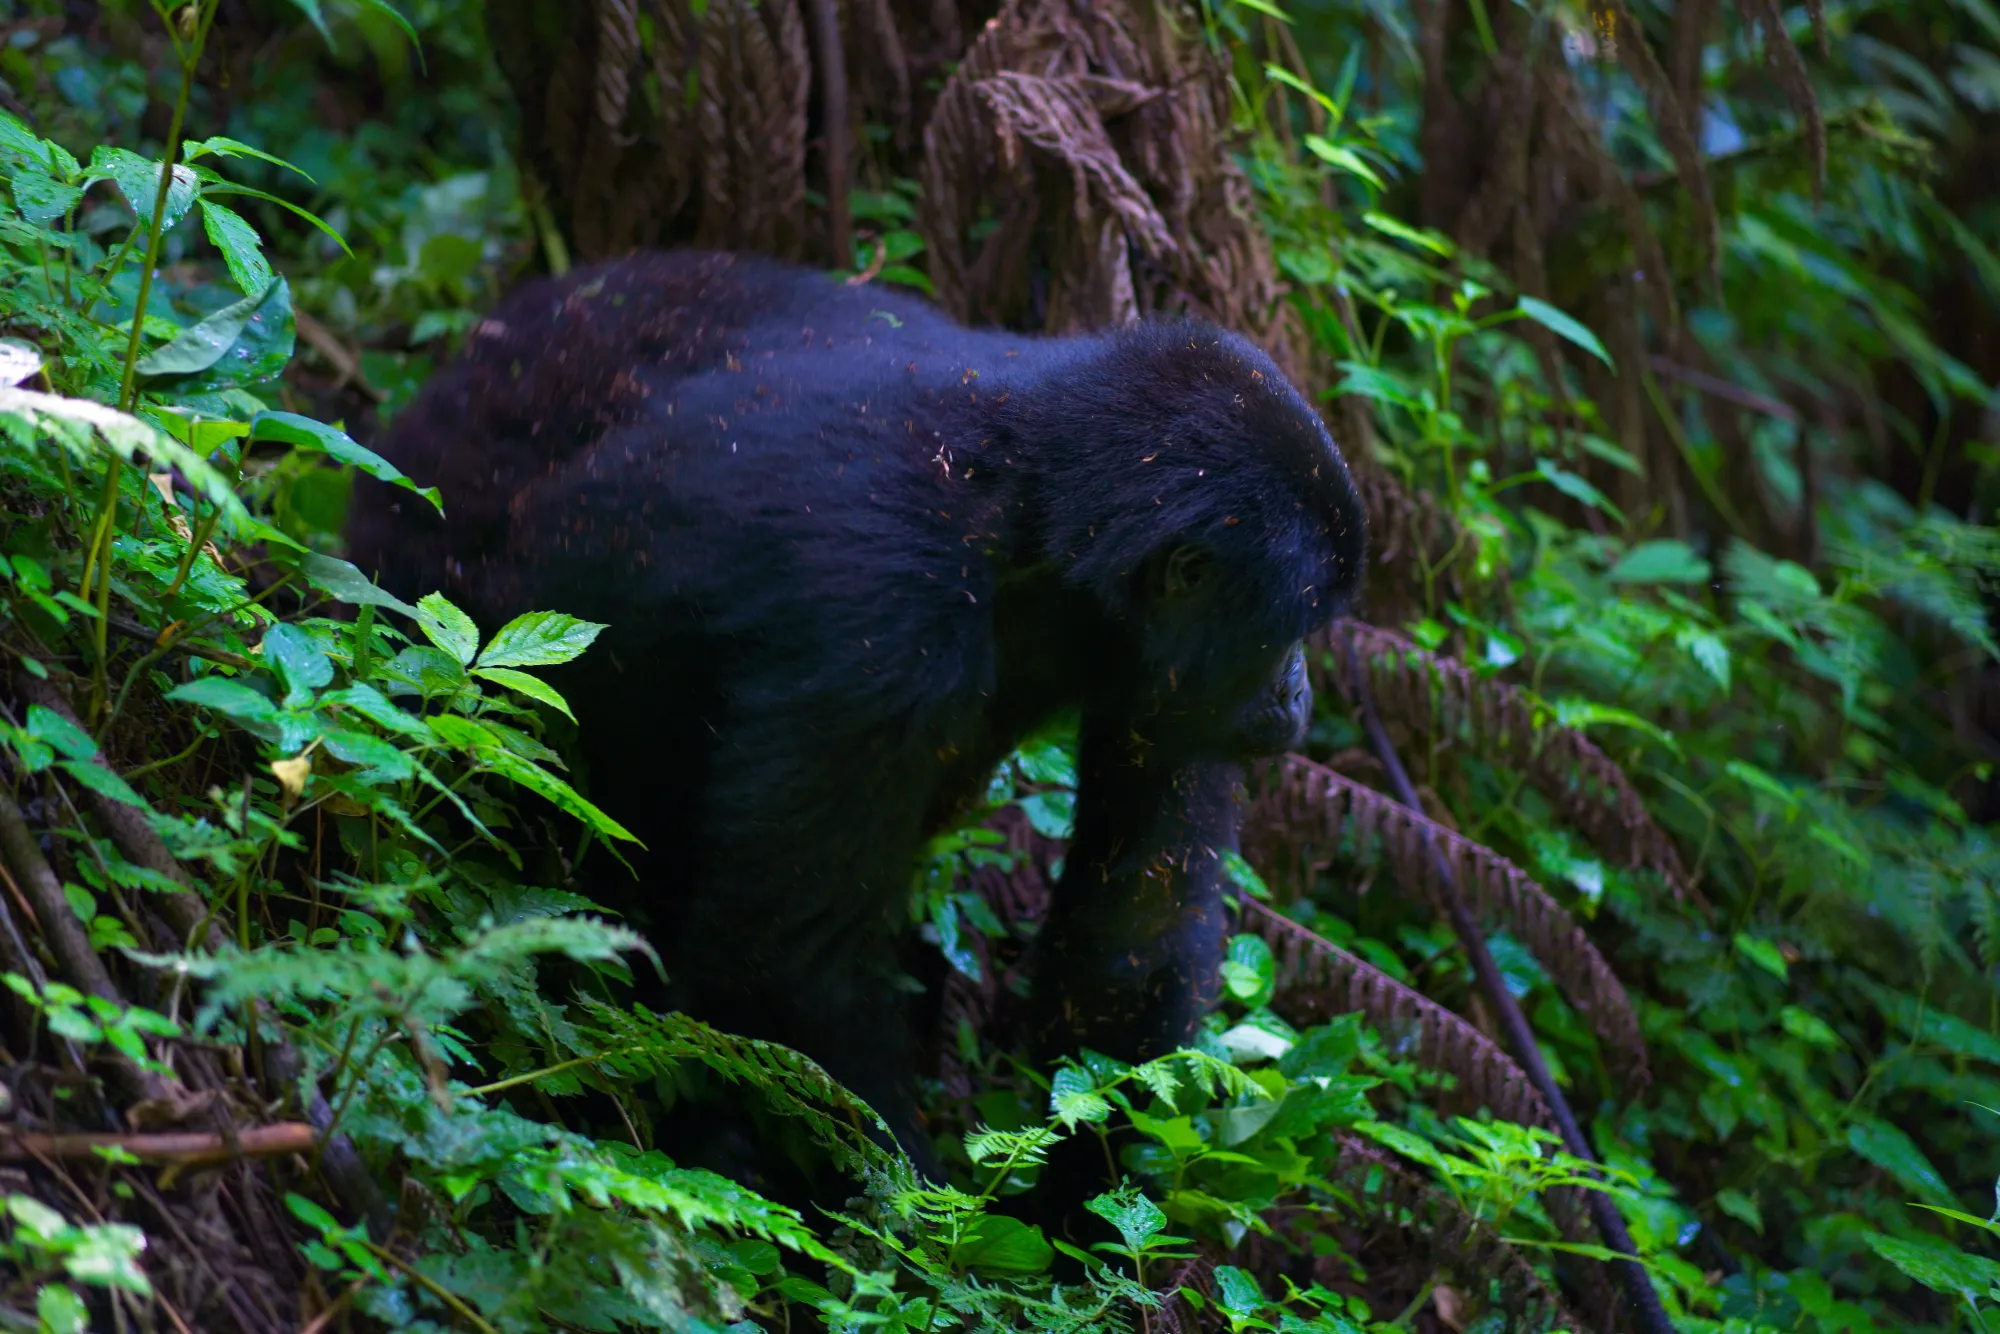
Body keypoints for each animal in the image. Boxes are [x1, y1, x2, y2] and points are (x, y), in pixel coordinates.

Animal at [352, 248, 1368, 1168]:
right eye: (1291, 632)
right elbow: (790, 969)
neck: (1033, 498)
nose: (1298, 694)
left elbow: (1133, 932)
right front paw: (912, 1214)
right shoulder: (886, 630)